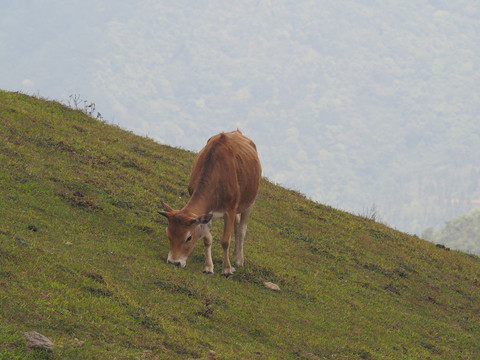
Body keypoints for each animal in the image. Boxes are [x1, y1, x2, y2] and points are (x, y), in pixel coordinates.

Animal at [159, 131, 260, 278]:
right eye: (168, 233)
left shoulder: (230, 209)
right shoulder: (205, 214)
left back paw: (238, 259)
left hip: (250, 201)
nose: (174, 262)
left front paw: (227, 269)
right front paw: (208, 267)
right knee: (237, 225)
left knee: (242, 229)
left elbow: (225, 241)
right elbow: (207, 239)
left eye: (188, 237)